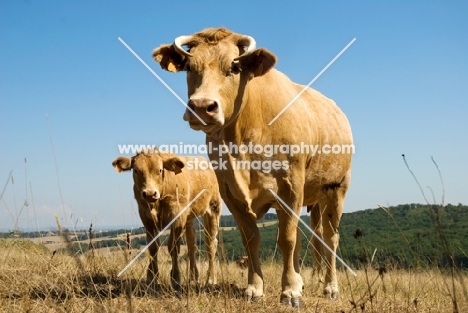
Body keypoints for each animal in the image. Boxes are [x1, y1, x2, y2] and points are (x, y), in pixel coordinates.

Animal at [113, 150, 223, 292]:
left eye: (160, 170)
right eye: (136, 170)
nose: (150, 193)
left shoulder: (178, 215)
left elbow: (173, 246)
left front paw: (175, 279)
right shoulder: (146, 216)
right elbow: (153, 247)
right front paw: (152, 279)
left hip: (214, 208)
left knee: (210, 243)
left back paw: (211, 279)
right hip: (189, 217)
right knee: (191, 243)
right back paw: (193, 278)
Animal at [152, 28, 352, 306]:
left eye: (234, 67)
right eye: (190, 67)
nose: (202, 106)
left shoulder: (291, 186)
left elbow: (287, 239)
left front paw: (290, 291)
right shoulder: (230, 192)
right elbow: (252, 238)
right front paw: (256, 288)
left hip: (337, 188)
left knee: (330, 238)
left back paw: (330, 287)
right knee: (312, 238)